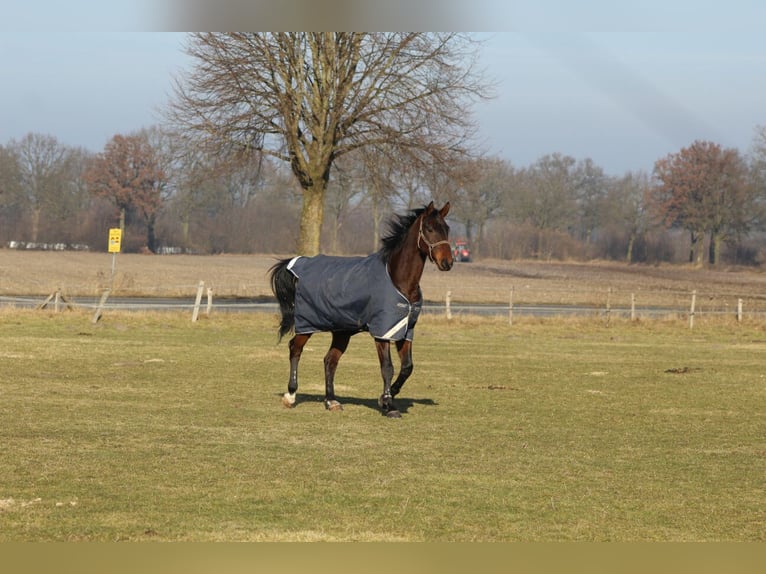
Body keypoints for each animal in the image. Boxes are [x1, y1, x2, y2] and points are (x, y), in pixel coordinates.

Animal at [270, 202, 452, 418]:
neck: (397, 279)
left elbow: (407, 367)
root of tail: (299, 264)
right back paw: (290, 395)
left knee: (330, 360)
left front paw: (385, 398)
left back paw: (331, 401)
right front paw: (389, 405)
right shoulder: (382, 332)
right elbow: (387, 367)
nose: (447, 262)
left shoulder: (405, 330)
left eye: (447, 229)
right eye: (430, 229)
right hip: (308, 324)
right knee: (295, 349)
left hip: (341, 331)